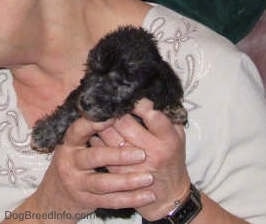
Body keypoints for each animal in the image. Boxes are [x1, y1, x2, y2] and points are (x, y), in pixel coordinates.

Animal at [31, 26, 188, 220]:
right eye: (92, 70)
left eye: (124, 83)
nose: (86, 102)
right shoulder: (79, 93)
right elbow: (68, 109)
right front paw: (45, 133)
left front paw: (174, 109)